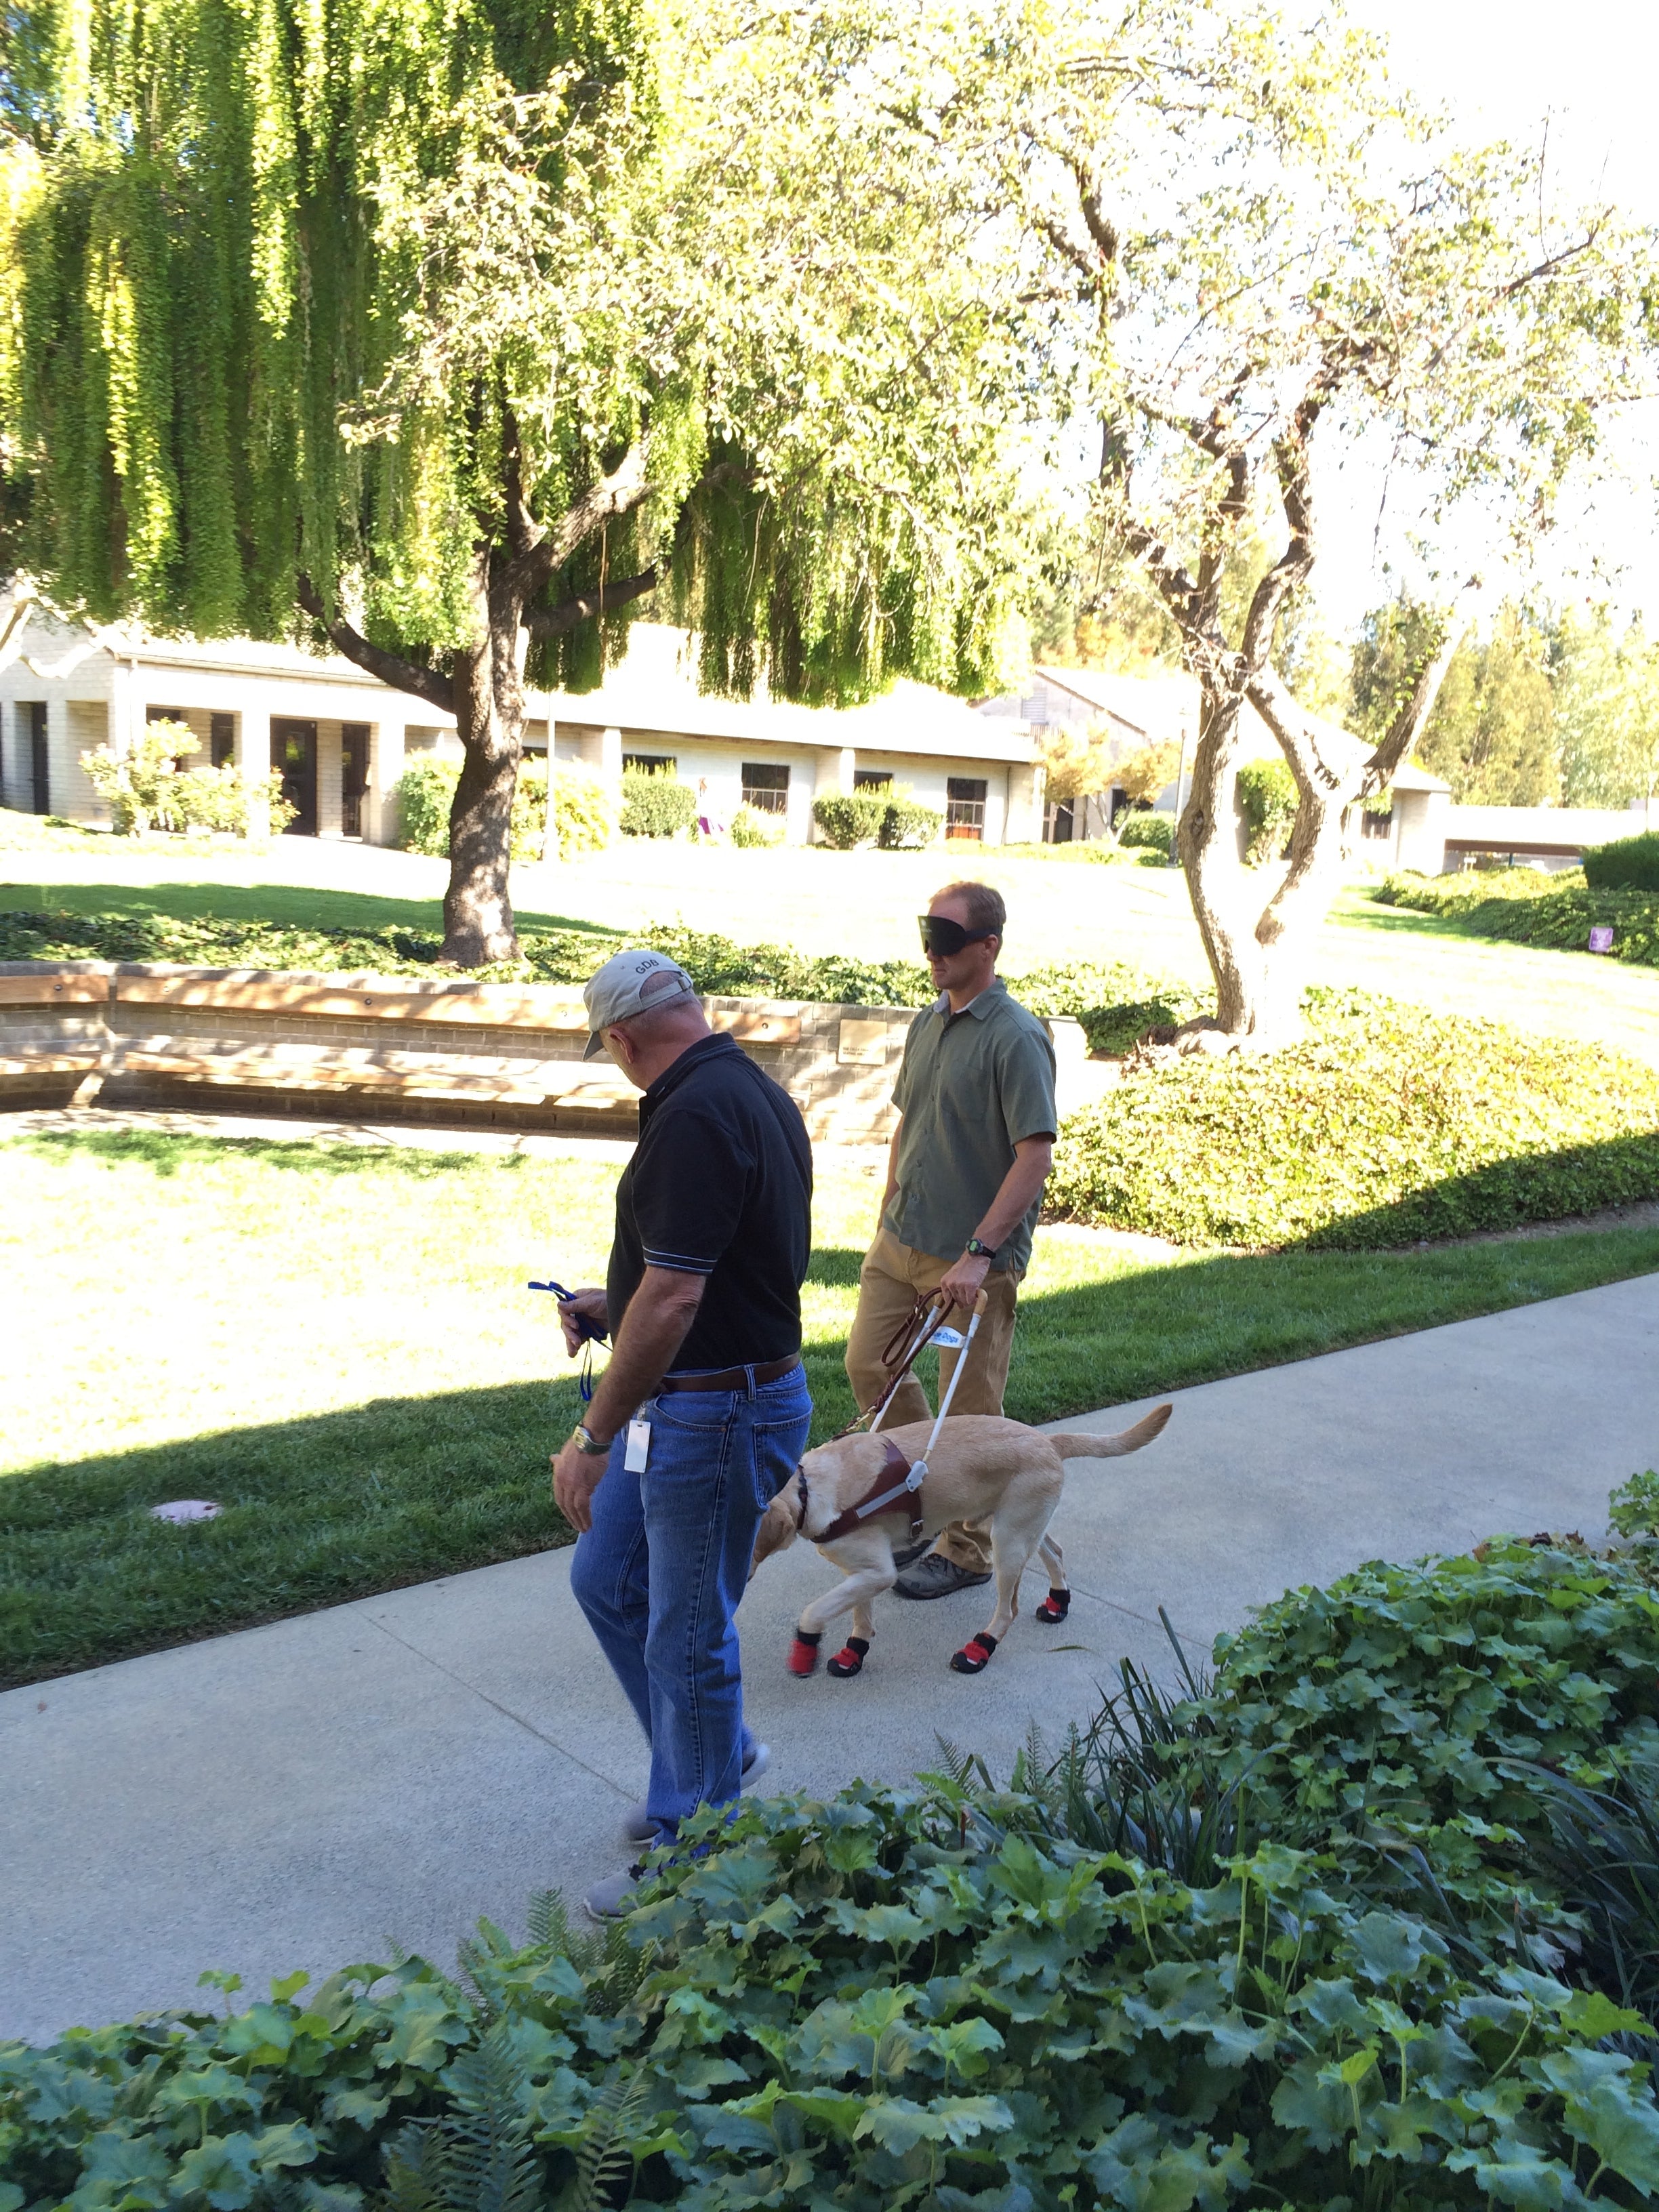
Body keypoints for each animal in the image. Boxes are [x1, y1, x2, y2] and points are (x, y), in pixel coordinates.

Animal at [752, 1415, 1168, 1672]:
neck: (810, 1490)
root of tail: (1048, 1440)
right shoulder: (860, 1572)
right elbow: (859, 1616)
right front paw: (854, 1652)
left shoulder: (878, 1572)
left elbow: (814, 1611)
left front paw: (805, 1650)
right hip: (1020, 1527)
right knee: (1055, 1551)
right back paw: (1057, 1602)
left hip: (1008, 1542)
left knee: (1008, 1610)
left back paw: (979, 1648)